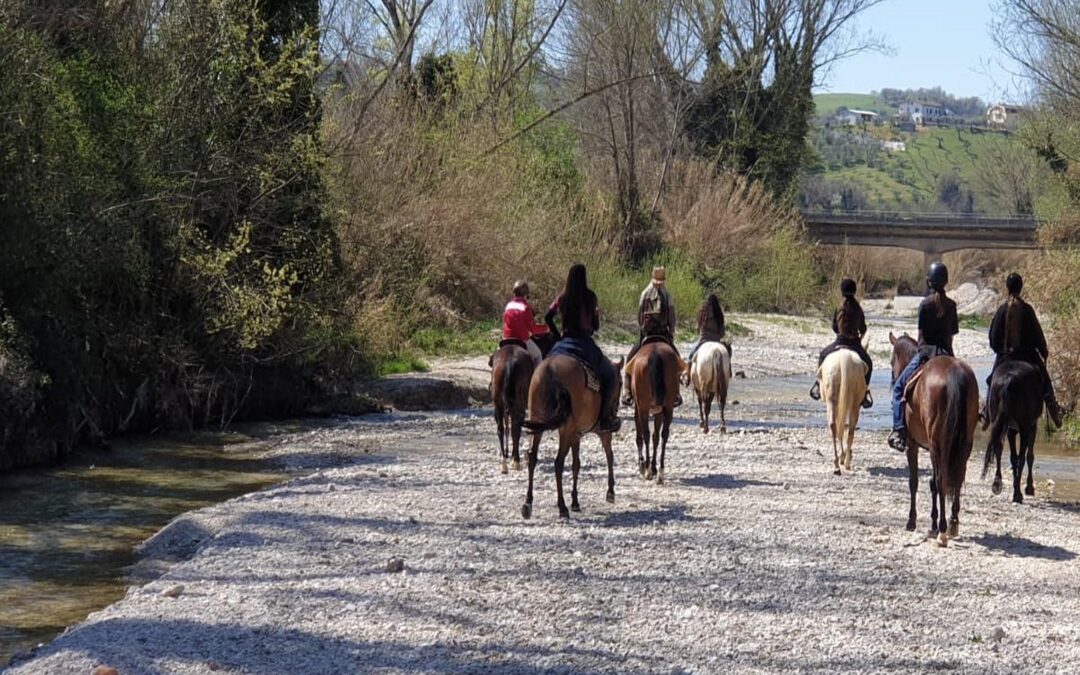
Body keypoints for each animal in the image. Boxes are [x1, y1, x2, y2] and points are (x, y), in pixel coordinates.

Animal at [489, 342, 534, 474]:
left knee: (501, 429)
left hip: (499, 403)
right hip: (518, 404)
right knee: (516, 429)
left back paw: (504, 463)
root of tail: (509, 363)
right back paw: (516, 461)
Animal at [520, 355, 623, 520]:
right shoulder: (604, 433)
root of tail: (550, 369)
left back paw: (527, 504)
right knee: (558, 462)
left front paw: (575, 501)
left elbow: (576, 465)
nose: (623, 402)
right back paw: (562, 507)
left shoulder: (576, 435)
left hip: (536, 422)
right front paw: (610, 492)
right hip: (565, 429)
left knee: (532, 457)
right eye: (620, 383)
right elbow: (609, 456)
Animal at [627, 339, 683, 483]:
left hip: (644, 407)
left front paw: (643, 465)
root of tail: (655, 354)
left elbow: (640, 436)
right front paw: (653, 467)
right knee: (664, 434)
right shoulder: (659, 412)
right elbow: (656, 437)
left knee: (646, 434)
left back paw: (647, 470)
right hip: (667, 407)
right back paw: (660, 472)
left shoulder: (638, 409)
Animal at [890, 333, 979, 546]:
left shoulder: (913, 445)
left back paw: (943, 530)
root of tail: (955, 373)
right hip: (964, 444)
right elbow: (931, 483)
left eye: (891, 361)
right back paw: (953, 524)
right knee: (957, 477)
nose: (893, 380)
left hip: (938, 444)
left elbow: (914, 481)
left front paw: (912, 521)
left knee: (941, 480)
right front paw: (932, 523)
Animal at [981, 360, 1044, 503]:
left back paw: (997, 484)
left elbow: (1012, 457)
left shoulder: (1010, 429)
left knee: (998, 449)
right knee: (1022, 457)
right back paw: (1017, 494)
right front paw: (1029, 488)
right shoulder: (1032, 426)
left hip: (998, 421)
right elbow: (1029, 456)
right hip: (1025, 427)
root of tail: (1009, 380)